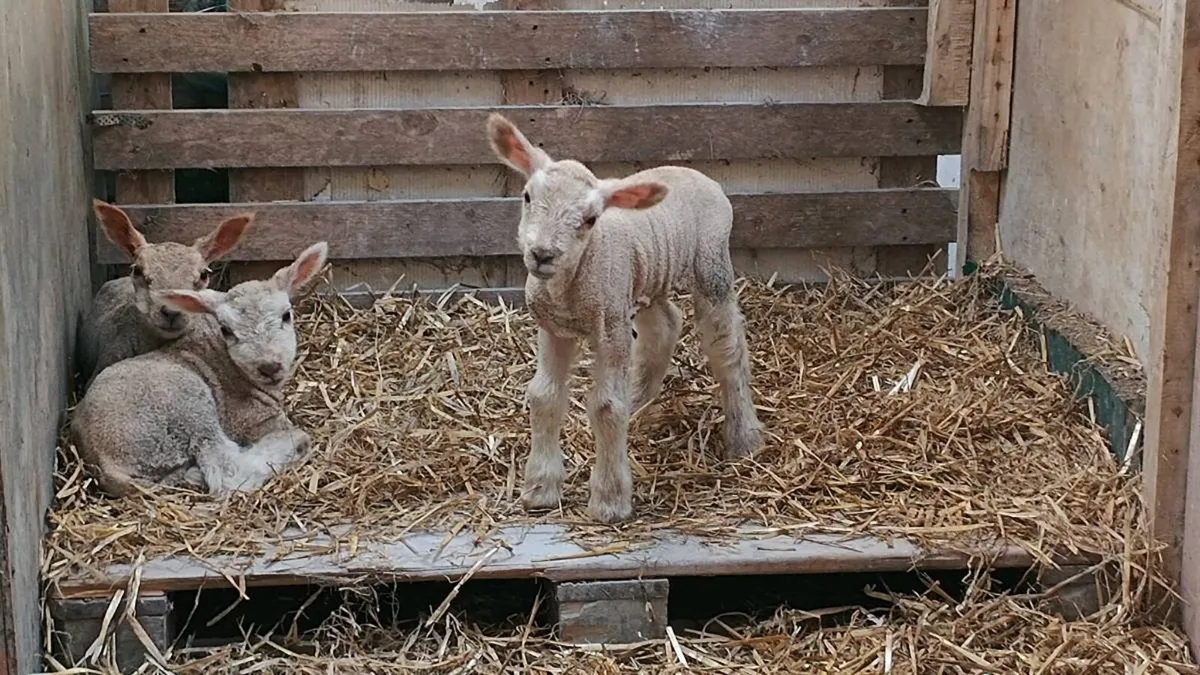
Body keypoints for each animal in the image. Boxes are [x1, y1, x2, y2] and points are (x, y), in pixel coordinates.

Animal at [69, 241, 329, 498]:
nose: (269, 367)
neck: (230, 365)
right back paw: (292, 445)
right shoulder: (254, 420)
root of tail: (105, 463)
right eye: (226, 330)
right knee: (226, 472)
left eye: (286, 315)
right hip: (188, 412)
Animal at [485, 113, 764, 524]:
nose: (542, 254)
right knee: (665, 324)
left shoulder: (611, 328)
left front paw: (610, 501)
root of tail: (698, 174)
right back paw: (638, 398)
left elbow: (605, 406)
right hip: (644, 276)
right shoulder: (553, 328)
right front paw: (539, 490)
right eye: (527, 197)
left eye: (589, 219)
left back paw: (744, 437)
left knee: (726, 348)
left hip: (710, 265)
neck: (570, 288)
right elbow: (544, 396)